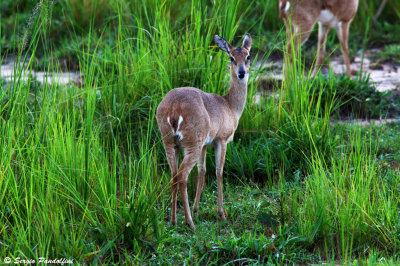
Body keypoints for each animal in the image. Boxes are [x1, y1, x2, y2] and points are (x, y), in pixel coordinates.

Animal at [155, 33, 252, 229]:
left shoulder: (206, 145)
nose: (241, 73)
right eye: (231, 57)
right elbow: (219, 172)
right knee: (182, 176)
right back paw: (190, 223)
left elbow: (202, 171)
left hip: (170, 144)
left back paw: (174, 220)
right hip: (192, 143)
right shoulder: (221, 140)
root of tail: (174, 108)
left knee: (173, 175)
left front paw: (197, 209)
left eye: (248, 56)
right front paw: (221, 214)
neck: (230, 106)